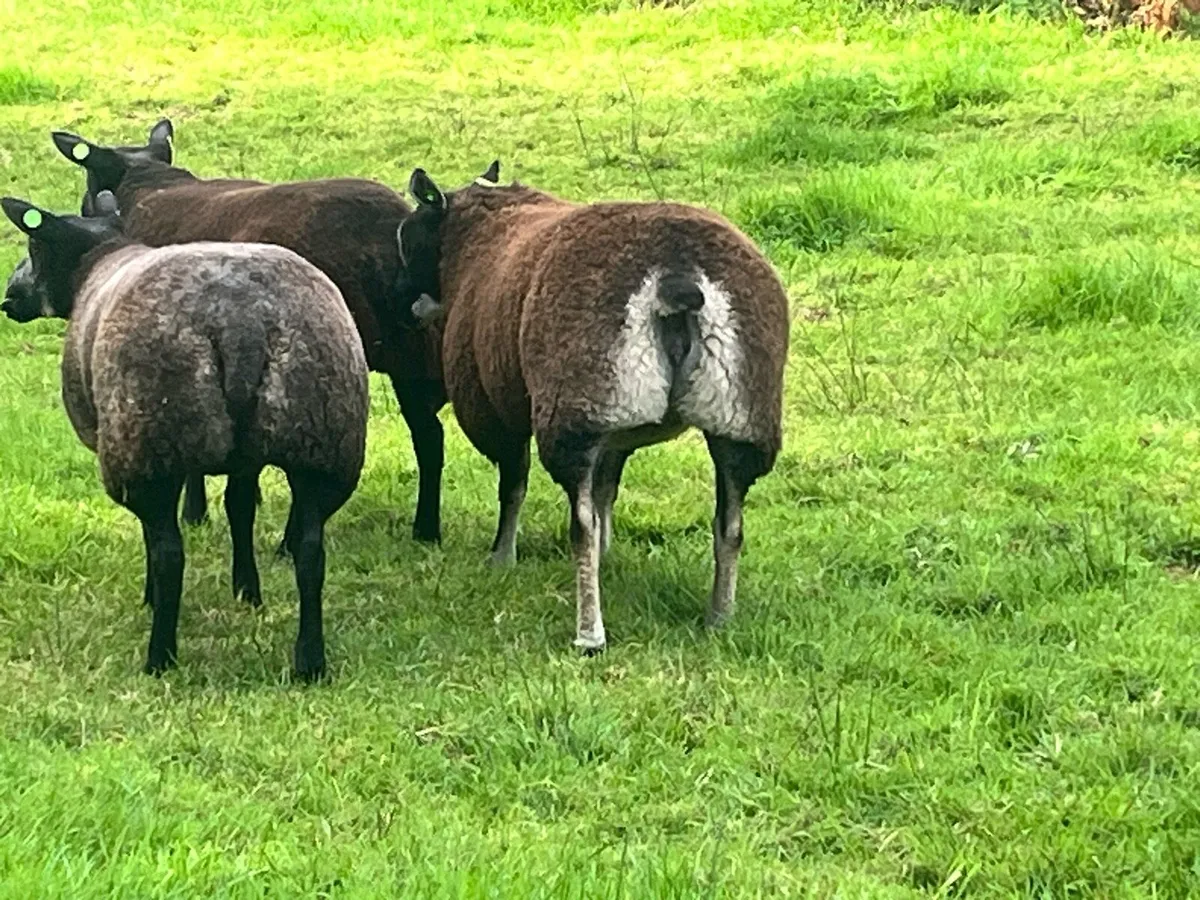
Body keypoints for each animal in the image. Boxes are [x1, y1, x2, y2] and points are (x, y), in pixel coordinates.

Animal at [1, 192, 369, 680]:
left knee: (169, 552)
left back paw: (160, 656)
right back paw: (310, 660)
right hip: (321, 439)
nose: (9, 297)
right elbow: (239, 509)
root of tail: (240, 321)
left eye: (35, 246)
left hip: (149, 440)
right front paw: (247, 591)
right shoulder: (246, 459)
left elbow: (157, 537)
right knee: (311, 553)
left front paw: (151, 598)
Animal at [46, 119, 444, 543]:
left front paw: (195, 513)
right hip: (410, 351)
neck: (147, 185)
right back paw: (426, 530)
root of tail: (379, 233)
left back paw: (289, 544)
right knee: (429, 437)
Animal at [392, 164, 789, 652]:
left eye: (408, 237)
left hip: (574, 411)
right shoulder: (617, 428)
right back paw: (720, 617)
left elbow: (515, 488)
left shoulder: (497, 410)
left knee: (578, 525)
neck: (474, 236)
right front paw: (607, 554)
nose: (402, 304)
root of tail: (677, 277)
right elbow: (606, 495)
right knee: (730, 527)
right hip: (739, 416)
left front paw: (502, 557)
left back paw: (589, 633)